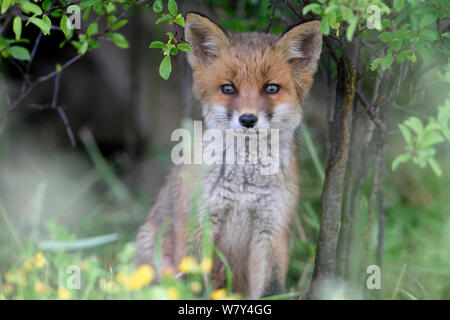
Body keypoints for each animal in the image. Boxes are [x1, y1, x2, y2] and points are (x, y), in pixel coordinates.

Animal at [135, 11, 322, 298]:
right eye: (228, 88)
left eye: (271, 88)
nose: (248, 119)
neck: (244, 188)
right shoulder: (199, 224)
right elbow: (195, 283)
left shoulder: (271, 229)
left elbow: (271, 287)